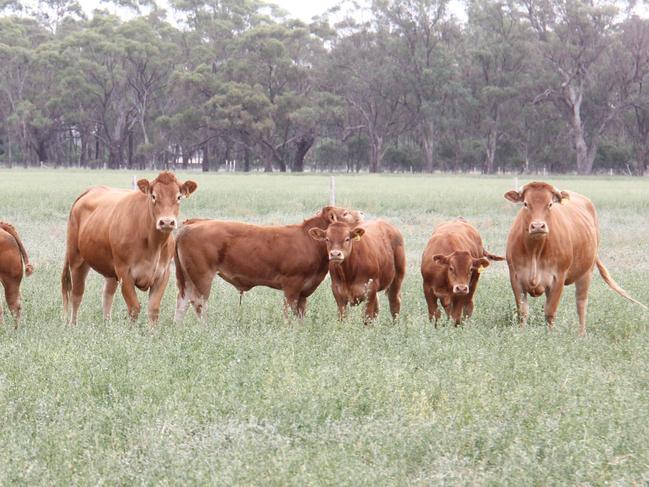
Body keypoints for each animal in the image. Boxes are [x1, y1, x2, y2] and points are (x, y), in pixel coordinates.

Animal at [62, 173, 196, 328]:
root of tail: (91, 190)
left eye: (179, 197)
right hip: (76, 259)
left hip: (110, 270)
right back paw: (72, 325)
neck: (153, 244)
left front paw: (152, 332)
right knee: (77, 295)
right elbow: (134, 307)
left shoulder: (163, 274)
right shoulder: (124, 273)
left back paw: (107, 325)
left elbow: (153, 309)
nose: (167, 222)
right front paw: (131, 332)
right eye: (153, 196)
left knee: (107, 295)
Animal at [172, 205, 364, 322]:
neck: (309, 241)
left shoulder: (304, 291)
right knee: (199, 303)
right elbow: (289, 313)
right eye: (345, 213)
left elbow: (300, 315)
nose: (362, 213)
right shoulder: (291, 286)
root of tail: (192, 224)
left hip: (188, 277)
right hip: (202, 276)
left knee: (182, 303)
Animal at [504, 182, 644, 336]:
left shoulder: (558, 278)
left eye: (550, 204)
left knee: (581, 303)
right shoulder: (515, 278)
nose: (538, 226)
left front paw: (549, 336)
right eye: (525, 204)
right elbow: (523, 312)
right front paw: (521, 334)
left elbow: (550, 312)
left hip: (586, 272)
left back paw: (581, 334)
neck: (535, 250)